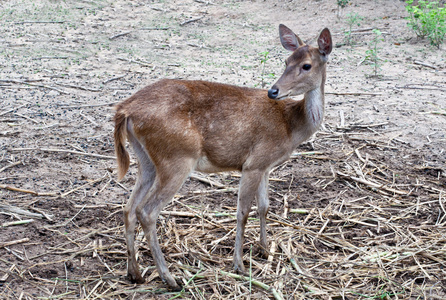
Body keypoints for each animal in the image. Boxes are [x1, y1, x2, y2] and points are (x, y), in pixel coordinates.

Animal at [114, 24, 332, 290]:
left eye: (306, 65)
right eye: (286, 61)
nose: (273, 91)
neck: (290, 126)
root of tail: (125, 110)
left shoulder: (266, 166)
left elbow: (264, 207)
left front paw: (264, 249)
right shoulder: (253, 163)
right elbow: (243, 212)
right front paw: (239, 265)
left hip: (145, 159)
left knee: (128, 208)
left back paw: (134, 273)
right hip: (176, 158)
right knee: (146, 211)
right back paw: (170, 278)